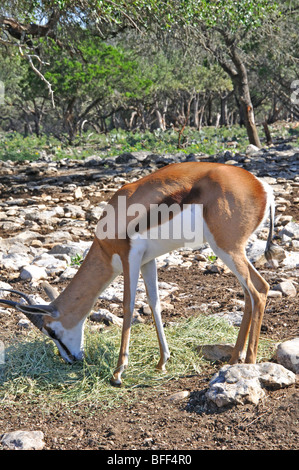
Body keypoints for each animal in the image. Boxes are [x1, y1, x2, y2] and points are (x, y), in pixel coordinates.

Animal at [0, 162, 276, 386]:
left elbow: (129, 306)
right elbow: (155, 303)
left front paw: (118, 373)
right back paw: (233, 358)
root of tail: (262, 187)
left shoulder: (128, 257)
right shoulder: (148, 261)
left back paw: (249, 362)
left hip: (226, 248)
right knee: (248, 293)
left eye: (51, 331)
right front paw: (162, 362)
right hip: (230, 251)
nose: (70, 360)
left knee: (259, 289)